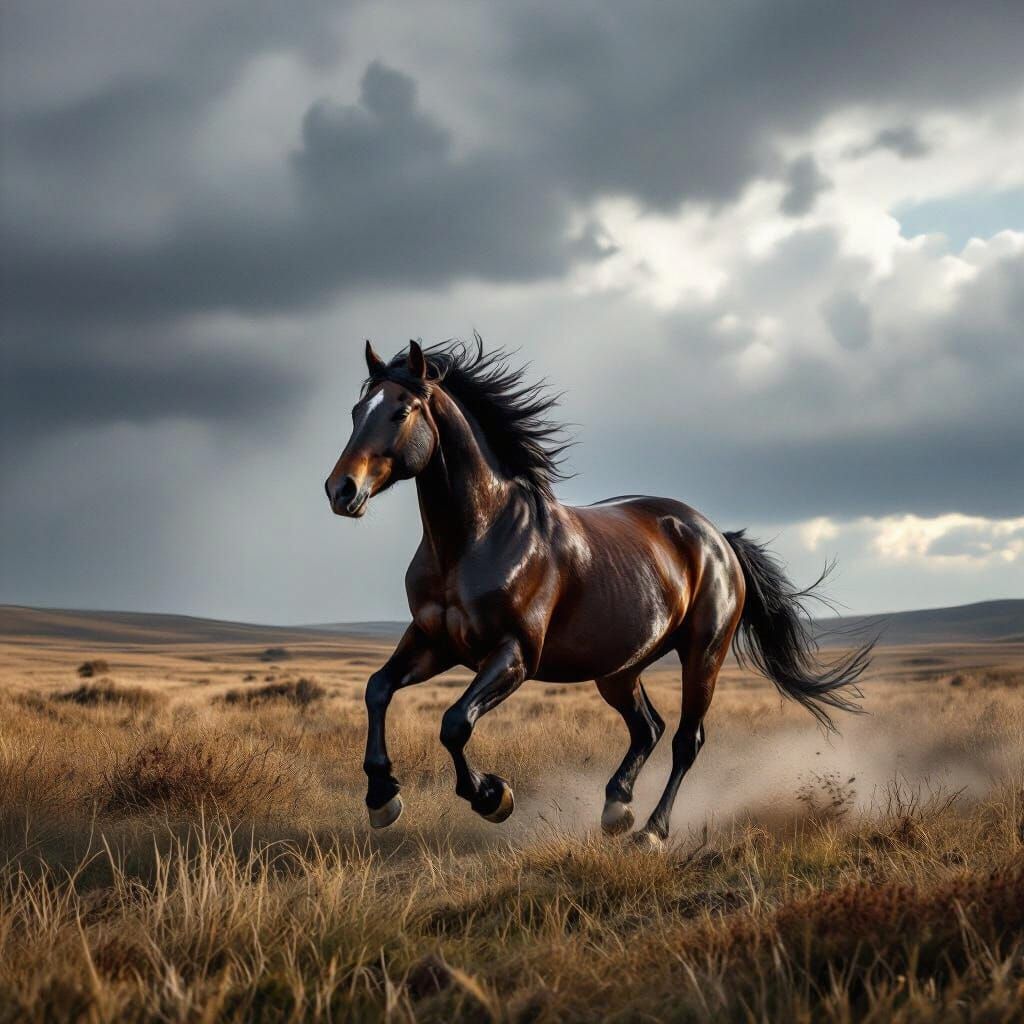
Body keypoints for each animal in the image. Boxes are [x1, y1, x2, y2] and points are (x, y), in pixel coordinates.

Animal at [324, 338, 872, 846]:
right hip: (619, 669)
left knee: (685, 740)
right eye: (355, 411)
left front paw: (492, 796)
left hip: (703, 654)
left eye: (400, 411)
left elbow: (455, 722)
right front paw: (382, 797)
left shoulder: (514, 655)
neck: (475, 541)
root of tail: (717, 538)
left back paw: (651, 831)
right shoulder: (433, 642)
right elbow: (378, 688)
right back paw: (616, 807)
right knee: (648, 727)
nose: (340, 490)